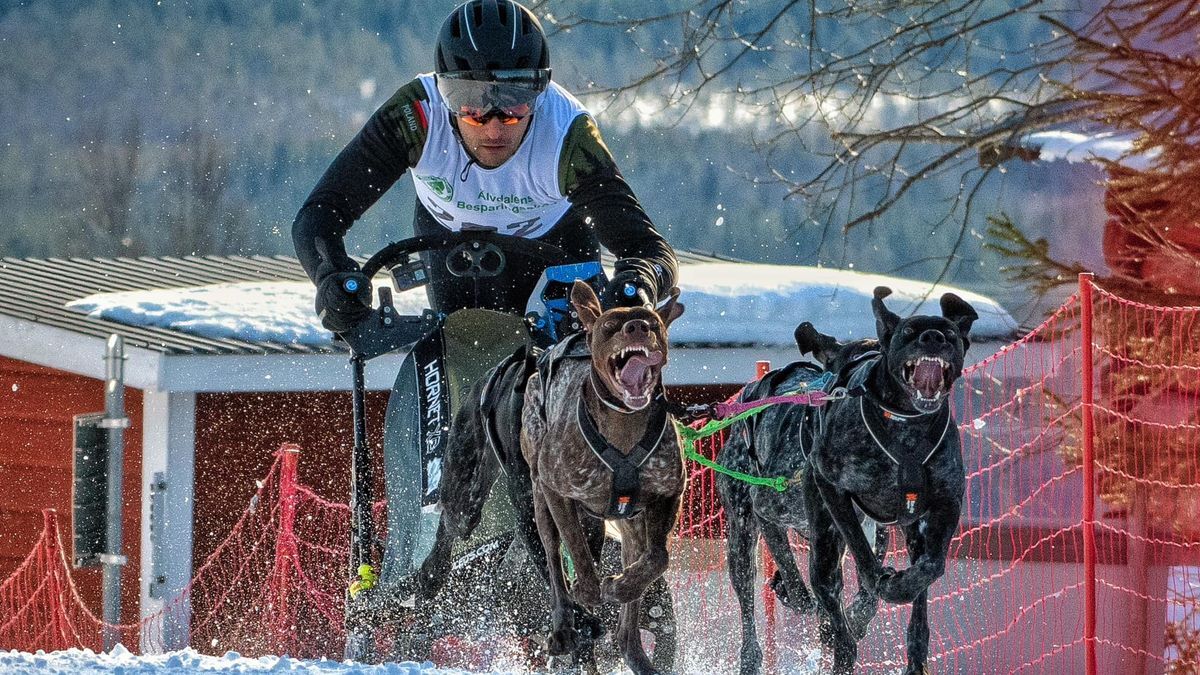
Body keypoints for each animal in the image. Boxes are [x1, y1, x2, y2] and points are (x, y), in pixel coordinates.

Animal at [523, 278, 686, 672]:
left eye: (652, 322)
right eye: (612, 325)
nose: (637, 327)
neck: (623, 428)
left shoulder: (668, 493)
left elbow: (658, 559)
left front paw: (618, 586)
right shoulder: (557, 492)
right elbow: (577, 550)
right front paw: (588, 588)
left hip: (633, 529)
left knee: (627, 628)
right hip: (540, 501)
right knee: (554, 563)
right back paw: (564, 627)